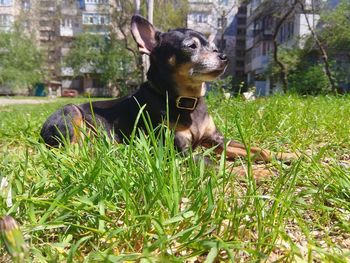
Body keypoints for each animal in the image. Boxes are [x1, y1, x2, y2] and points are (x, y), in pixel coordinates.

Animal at [40, 15, 296, 164]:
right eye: (191, 47)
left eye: (214, 47)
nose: (224, 57)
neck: (188, 101)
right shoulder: (180, 151)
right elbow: (219, 165)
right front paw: (261, 173)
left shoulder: (216, 141)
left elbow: (255, 149)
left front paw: (287, 156)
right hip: (72, 112)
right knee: (70, 151)